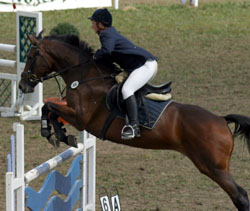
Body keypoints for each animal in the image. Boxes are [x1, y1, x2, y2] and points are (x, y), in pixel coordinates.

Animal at [18, 31, 250, 211]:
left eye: (30, 56)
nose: (22, 85)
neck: (85, 75)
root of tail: (221, 120)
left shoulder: (80, 117)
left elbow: (48, 108)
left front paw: (54, 134)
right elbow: (49, 110)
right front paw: (62, 136)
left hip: (213, 167)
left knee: (240, 196)